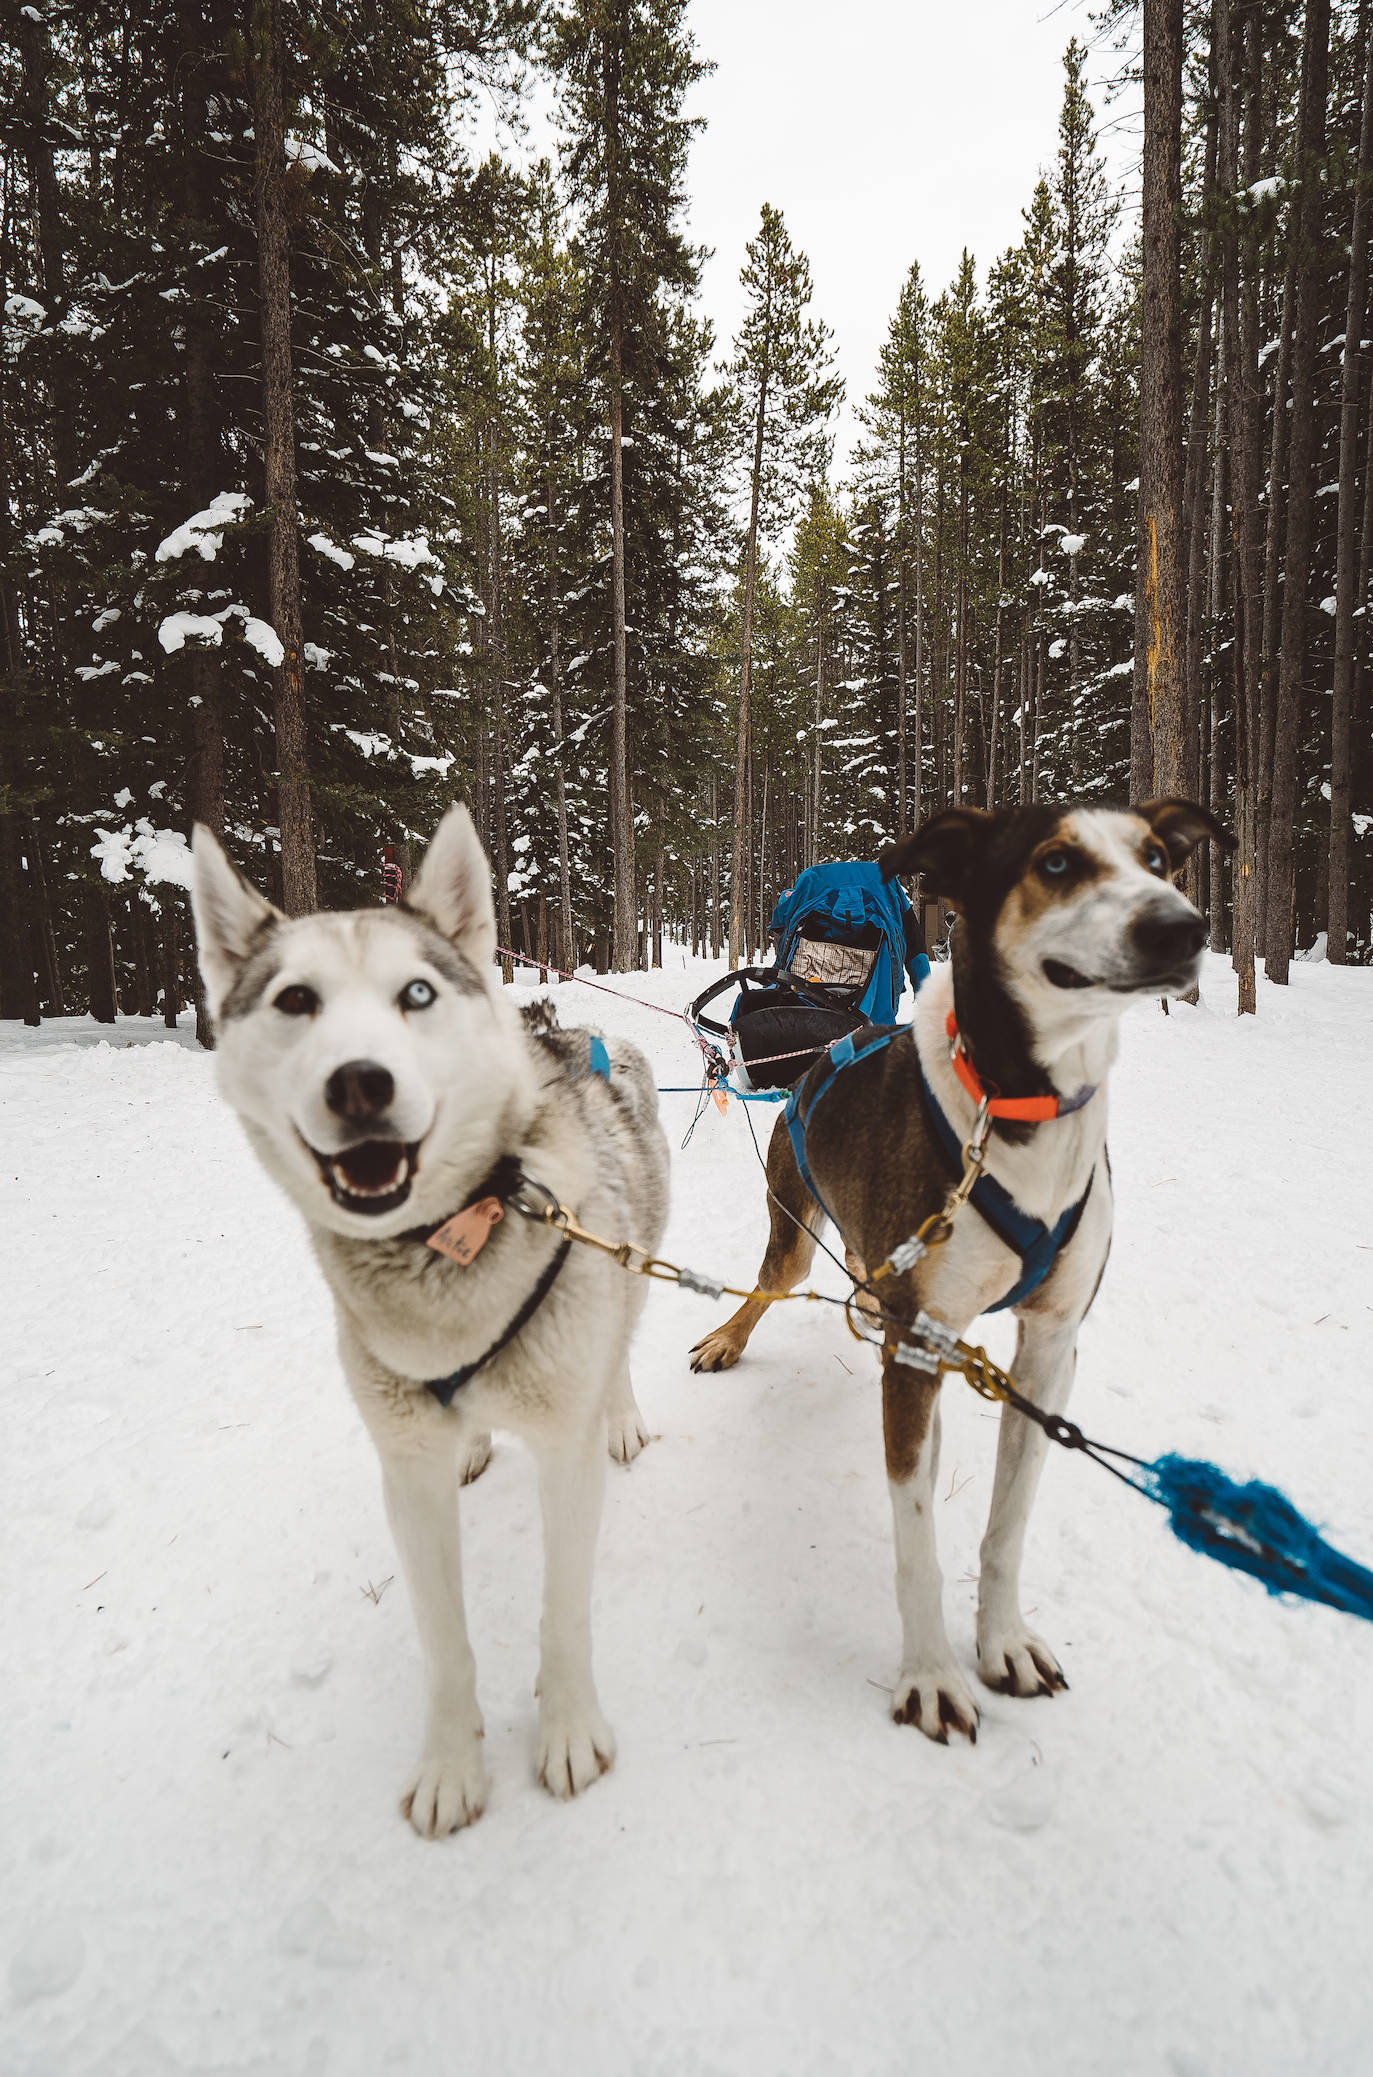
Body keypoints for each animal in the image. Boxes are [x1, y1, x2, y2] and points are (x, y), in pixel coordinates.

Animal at [190, 801, 664, 1844]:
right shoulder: (404, 1471)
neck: (449, 1250)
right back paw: (477, 1442)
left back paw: (619, 1413)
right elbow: (445, 1644)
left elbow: (562, 1610)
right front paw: (452, 1765)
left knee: (617, 1353)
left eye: (415, 992)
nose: (358, 1081)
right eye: (294, 1000)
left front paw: (568, 1728)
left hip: (631, 1268)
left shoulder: (563, 1454)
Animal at [689, 801, 1229, 1744]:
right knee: (765, 1285)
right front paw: (932, 1674)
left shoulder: (1047, 1350)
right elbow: (917, 1546)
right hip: (794, 1236)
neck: (1018, 1110)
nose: (1182, 924)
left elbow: (1004, 1528)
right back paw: (726, 1336)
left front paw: (1002, 1641)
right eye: (1055, 862)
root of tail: (823, 1048)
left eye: (1158, 859)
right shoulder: (918, 1350)